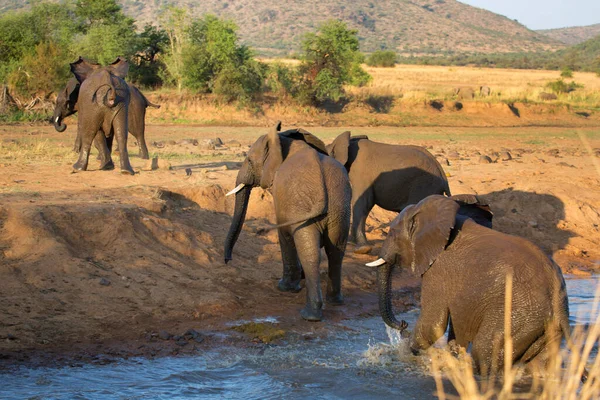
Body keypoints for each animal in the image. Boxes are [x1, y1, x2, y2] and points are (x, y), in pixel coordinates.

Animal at [224, 122, 352, 322]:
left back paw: (310, 315)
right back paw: (335, 301)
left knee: (309, 252)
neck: (283, 140)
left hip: (303, 207)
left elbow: (285, 237)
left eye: (250, 161)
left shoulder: (282, 198)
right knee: (336, 252)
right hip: (340, 209)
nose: (227, 260)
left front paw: (285, 288)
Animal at [366, 195, 572, 376]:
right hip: (543, 328)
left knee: (484, 351)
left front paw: (409, 352)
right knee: (539, 364)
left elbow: (433, 323)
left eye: (392, 233)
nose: (403, 324)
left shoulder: (439, 269)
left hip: (518, 318)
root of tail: (560, 307)